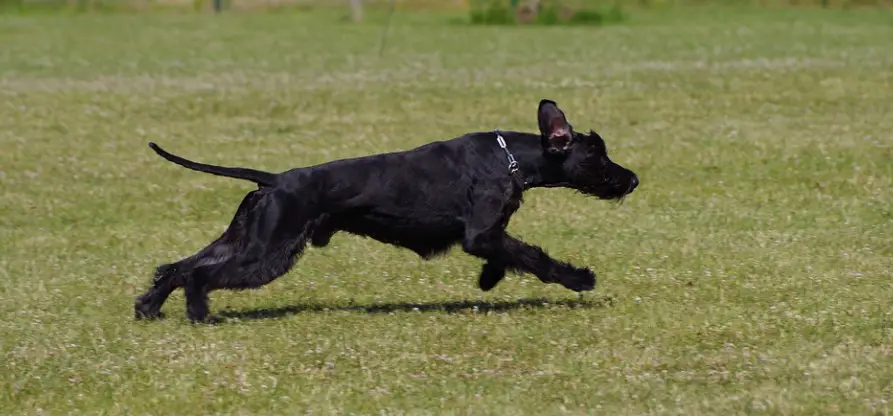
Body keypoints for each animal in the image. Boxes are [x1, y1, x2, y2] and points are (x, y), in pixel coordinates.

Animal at [134, 100, 636, 322]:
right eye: (597, 154)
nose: (631, 179)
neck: (512, 158)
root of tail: (274, 180)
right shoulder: (482, 232)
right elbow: (533, 256)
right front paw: (580, 278)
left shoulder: (489, 234)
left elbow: (508, 255)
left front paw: (488, 280)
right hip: (267, 252)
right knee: (200, 274)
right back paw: (200, 313)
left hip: (246, 238)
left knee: (178, 266)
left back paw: (149, 308)